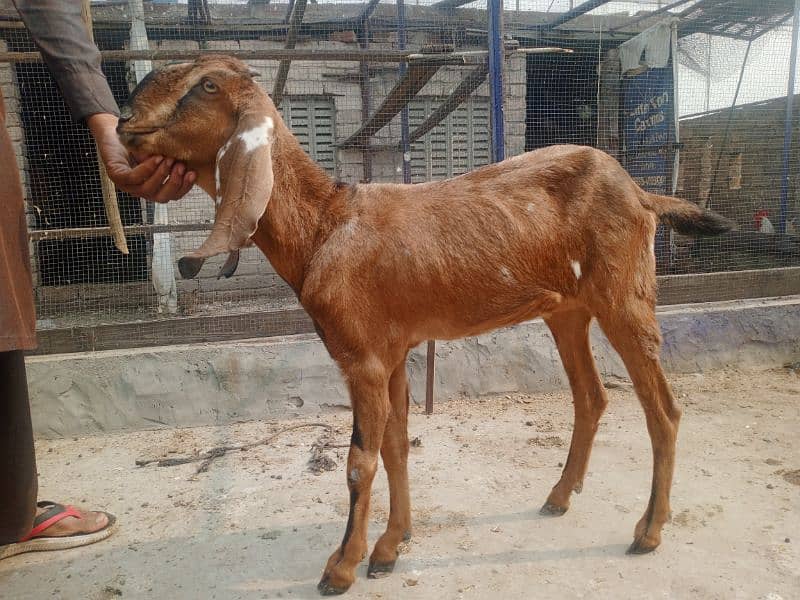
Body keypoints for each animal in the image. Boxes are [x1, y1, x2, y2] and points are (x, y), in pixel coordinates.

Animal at [117, 56, 732, 596]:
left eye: (207, 85)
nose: (124, 121)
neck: (325, 225)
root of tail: (641, 192)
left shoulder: (361, 358)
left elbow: (358, 462)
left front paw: (342, 567)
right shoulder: (390, 352)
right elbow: (394, 446)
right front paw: (392, 545)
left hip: (623, 296)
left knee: (663, 410)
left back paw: (648, 531)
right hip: (568, 311)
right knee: (591, 395)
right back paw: (560, 496)